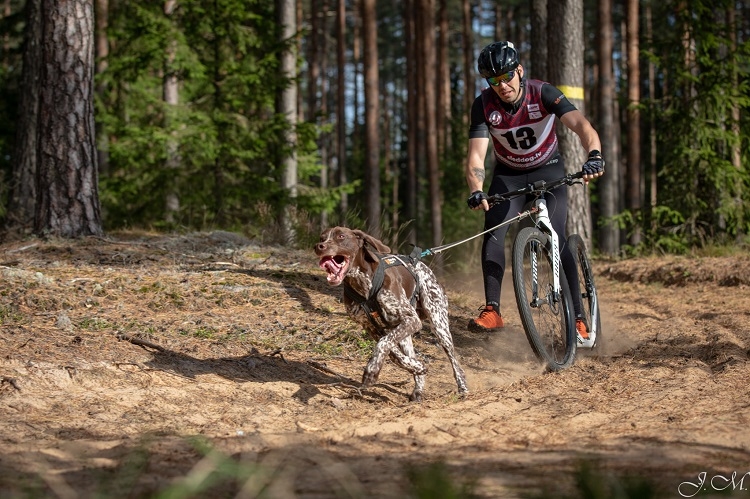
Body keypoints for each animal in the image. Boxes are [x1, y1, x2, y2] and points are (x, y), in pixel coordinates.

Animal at [316, 227, 470, 402]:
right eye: (321, 238)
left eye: (341, 236)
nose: (319, 246)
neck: (363, 285)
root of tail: (423, 265)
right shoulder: (373, 328)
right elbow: (393, 354)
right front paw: (416, 367)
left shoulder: (411, 320)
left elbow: (384, 344)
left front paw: (371, 370)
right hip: (405, 335)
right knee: (409, 354)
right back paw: (418, 387)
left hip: (439, 326)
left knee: (455, 362)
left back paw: (463, 388)